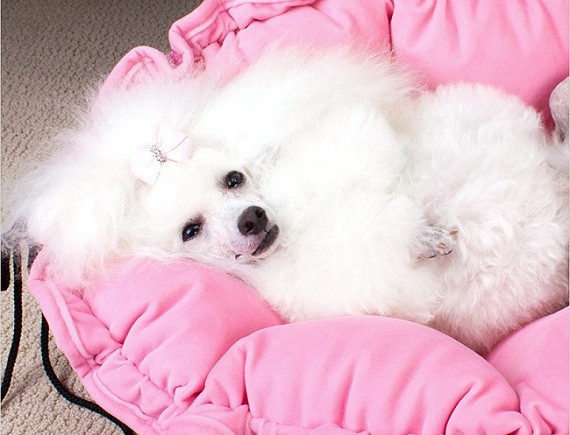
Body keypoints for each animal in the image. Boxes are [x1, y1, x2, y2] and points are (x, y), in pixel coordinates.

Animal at [10, 46, 568, 354]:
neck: (297, 223)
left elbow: (370, 154)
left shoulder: (344, 141)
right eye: (190, 231)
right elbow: (382, 249)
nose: (253, 219)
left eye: (234, 179)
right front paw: (421, 235)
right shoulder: (339, 283)